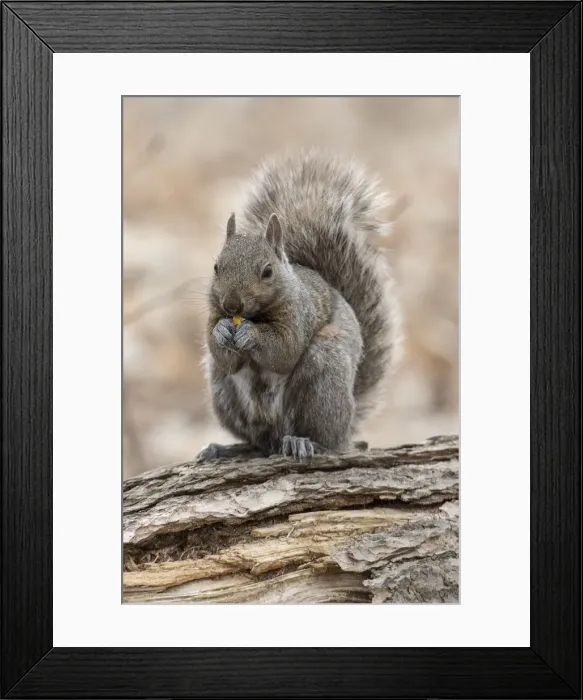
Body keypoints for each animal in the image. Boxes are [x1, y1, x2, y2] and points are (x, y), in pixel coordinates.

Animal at [197, 149, 399, 461]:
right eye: (217, 267)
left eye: (268, 271)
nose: (231, 305)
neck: (254, 315)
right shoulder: (213, 318)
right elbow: (225, 358)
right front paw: (221, 331)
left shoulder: (299, 314)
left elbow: (285, 351)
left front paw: (251, 335)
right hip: (223, 391)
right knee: (257, 441)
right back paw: (224, 449)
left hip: (324, 378)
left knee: (325, 438)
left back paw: (306, 443)